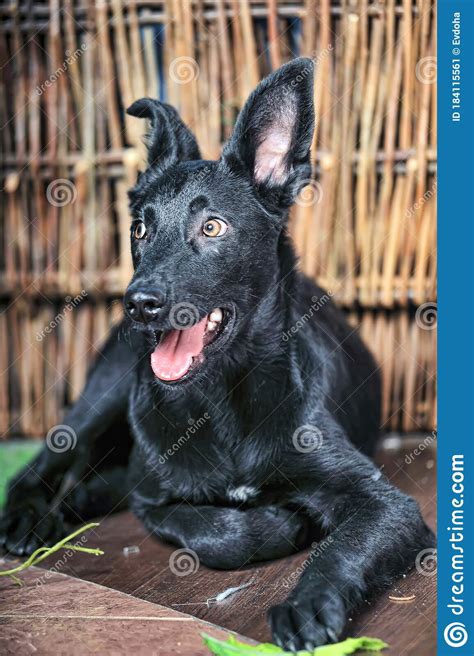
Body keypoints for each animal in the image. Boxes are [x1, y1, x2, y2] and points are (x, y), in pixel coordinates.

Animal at [0, 57, 434, 652]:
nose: (139, 304)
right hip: (108, 389)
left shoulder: (385, 502)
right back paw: (28, 520)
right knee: (51, 457)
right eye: (140, 228)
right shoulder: (153, 497)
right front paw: (279, 525)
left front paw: (306, 604)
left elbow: (344, 546)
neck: (225, 396)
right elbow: (211, 530)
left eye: (212, 227)